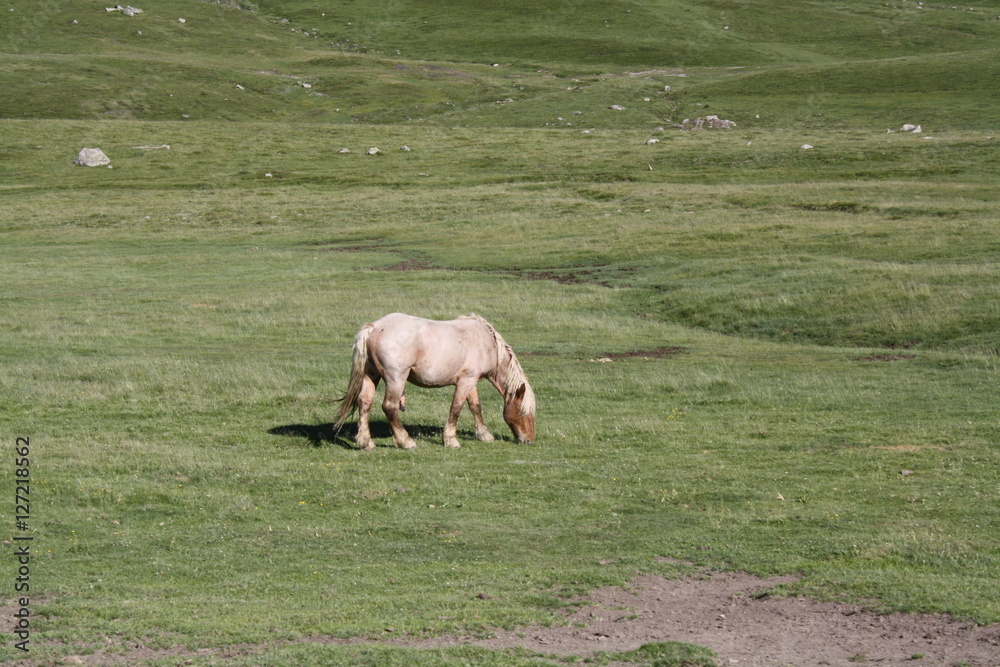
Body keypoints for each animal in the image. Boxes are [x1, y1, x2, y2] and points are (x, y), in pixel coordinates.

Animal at [334, 313, 536, 450]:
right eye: (524, 412)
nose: (529, 440)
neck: (488, 342)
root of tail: (374, 327)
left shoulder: (470, 381)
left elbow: (475, 407)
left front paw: (484, 435)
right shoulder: (466, 382)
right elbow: (456, 409)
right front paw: (451, 440)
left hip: (371, 375)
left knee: (364, 403)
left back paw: (365, 442)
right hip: (396, 378)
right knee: (390, 407)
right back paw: (405, 441)